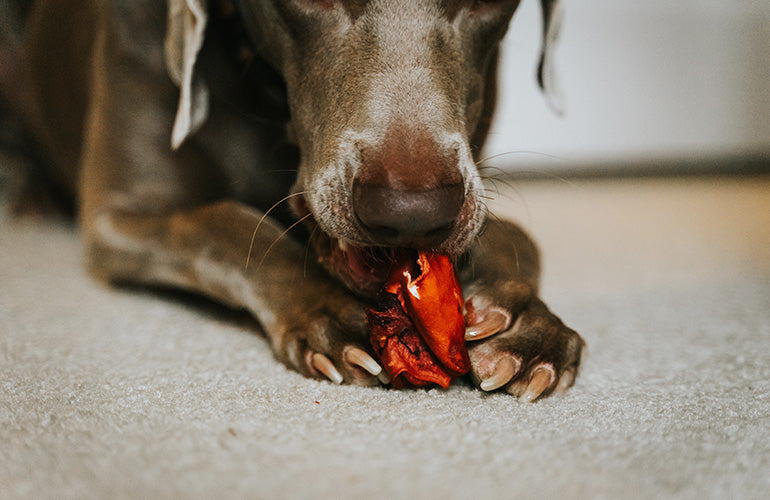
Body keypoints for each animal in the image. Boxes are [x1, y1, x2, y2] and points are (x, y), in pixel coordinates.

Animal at [1, 0, 584, 398]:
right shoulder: (117, 215)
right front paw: (327, 310)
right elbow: (225, 223)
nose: (409, 215)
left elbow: (518, 235)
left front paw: (526, 324)